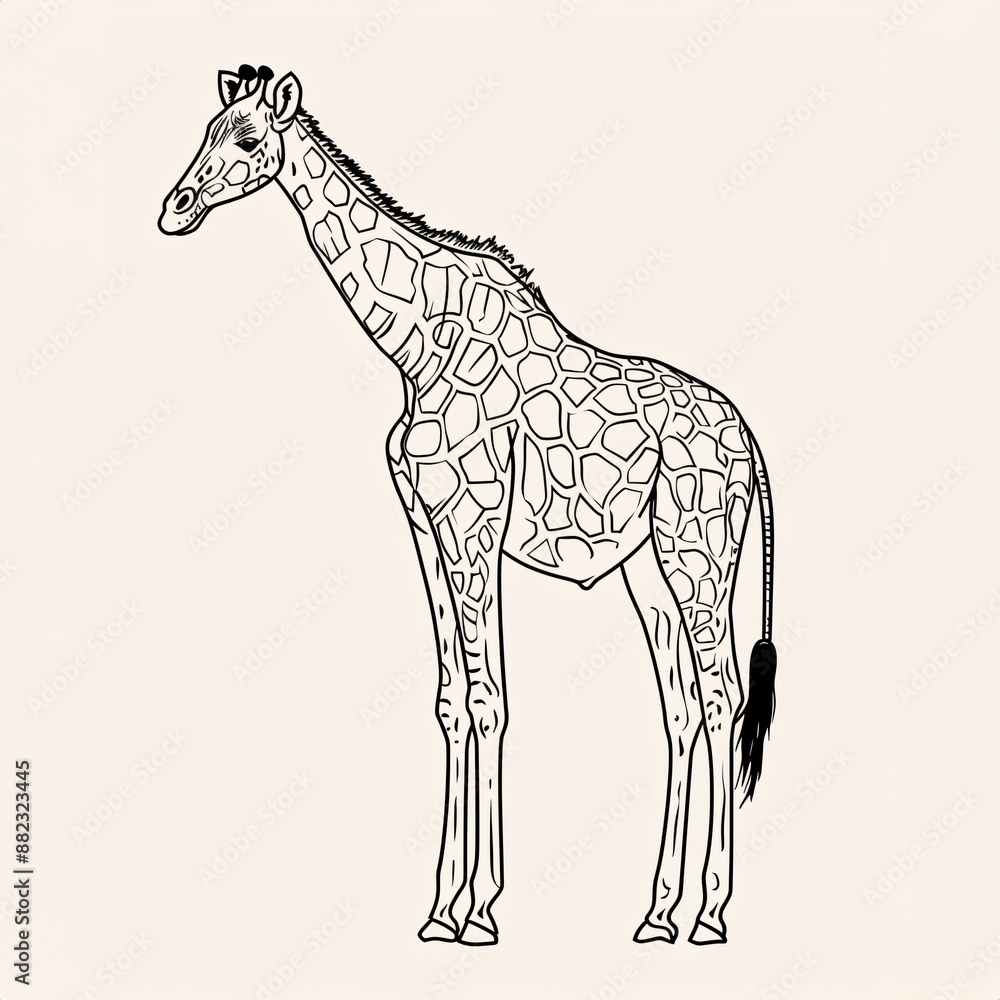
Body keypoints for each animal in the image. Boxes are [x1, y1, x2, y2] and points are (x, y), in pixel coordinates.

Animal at [159, 65, 778, 947]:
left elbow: (491, 699)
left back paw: (712, 916)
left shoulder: (473, 525)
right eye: (206, 131)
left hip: (701, 553)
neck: (415, 347)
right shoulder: (425, 527)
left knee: (723, 699)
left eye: (247, 140)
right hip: (647, 569)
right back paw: (660, 913)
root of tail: (750, 442)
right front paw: (439, 909)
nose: (173, 208)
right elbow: (452, 702)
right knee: (683, 709)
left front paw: (479, 912)